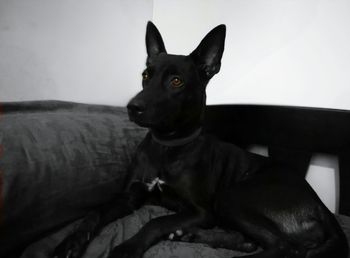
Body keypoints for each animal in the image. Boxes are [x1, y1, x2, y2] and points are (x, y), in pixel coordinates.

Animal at [53, 22, 348, 258]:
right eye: (146, 75)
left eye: (176, 81)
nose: (132, 107)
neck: (166, 146)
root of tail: (322, 207)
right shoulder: (129, 197)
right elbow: (95, 213)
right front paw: (69, 243)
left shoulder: (202, 212)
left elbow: (155, 222)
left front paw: (128, 248)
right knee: (251, 241)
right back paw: (193, 235)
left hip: (232, 196)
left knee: (286, 247)